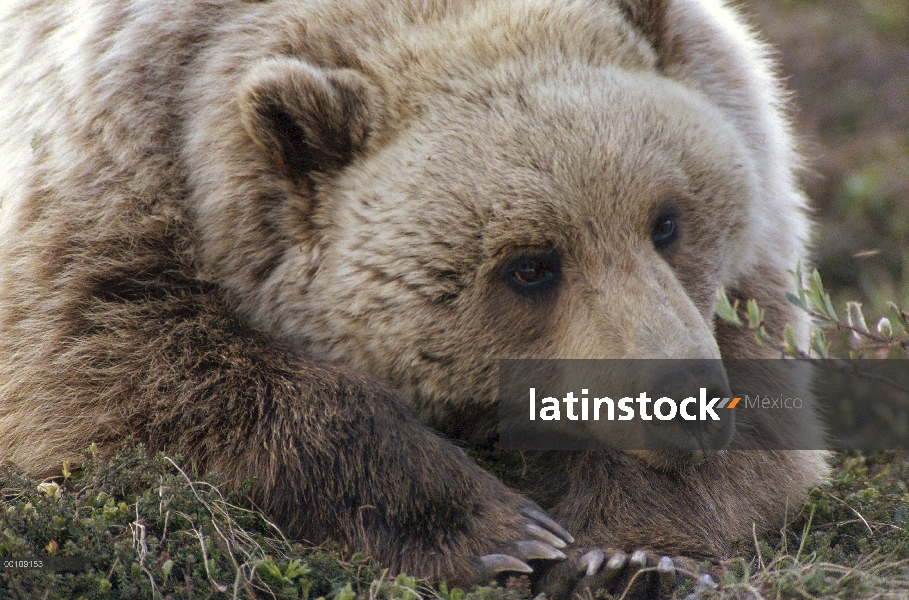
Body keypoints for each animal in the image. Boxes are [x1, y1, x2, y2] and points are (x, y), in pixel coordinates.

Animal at [0, 0, 828, 596]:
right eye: (529, 265)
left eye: (666, 221)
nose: (684, 404)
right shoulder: (113, 173)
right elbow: (107, 368)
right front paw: (496, 528)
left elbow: (760, 413)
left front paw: (627, 561)